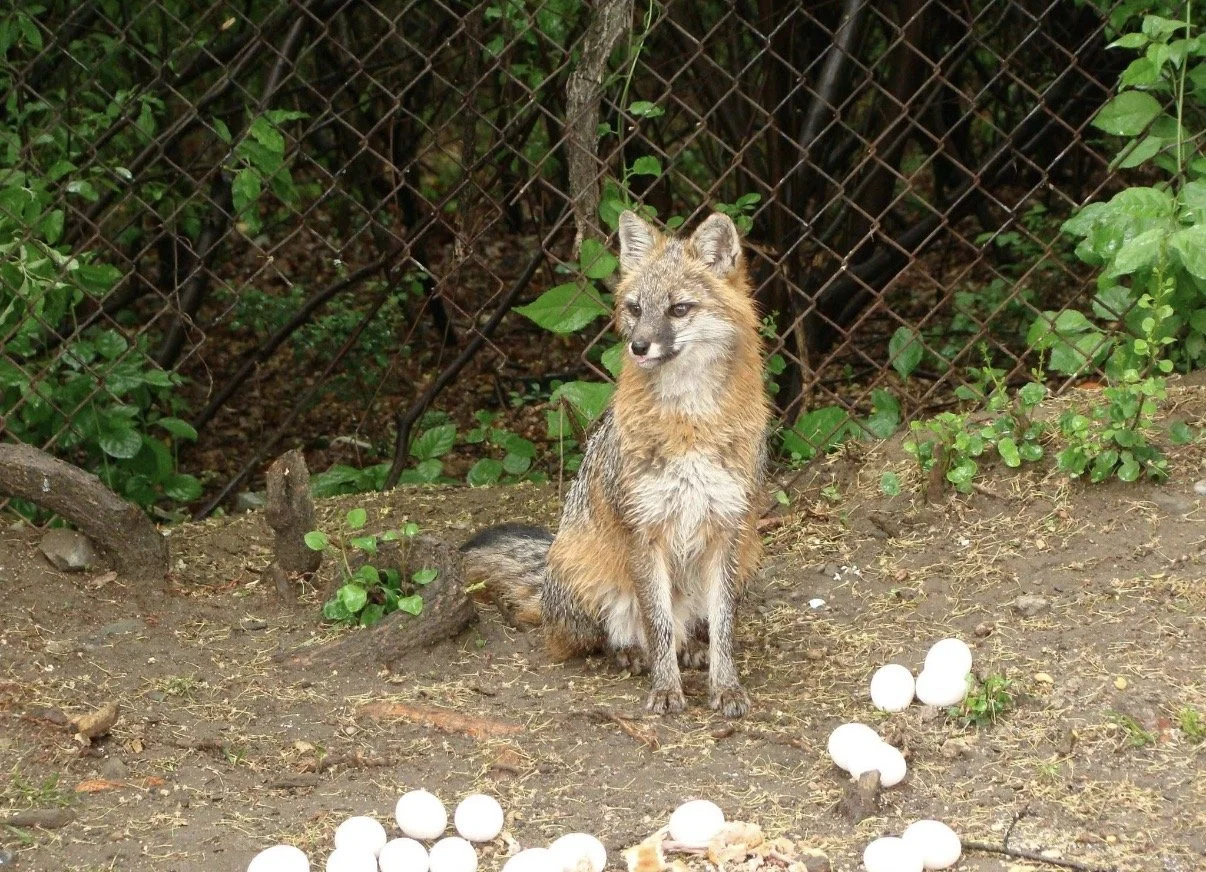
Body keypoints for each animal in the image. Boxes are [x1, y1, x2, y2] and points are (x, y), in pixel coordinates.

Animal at [461, 209, 770, 717]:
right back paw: (631, 654)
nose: (638, 347)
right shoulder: (645, 530)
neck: (690, 424)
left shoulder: (728, 529)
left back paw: (693, 648)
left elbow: (724, 628)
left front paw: (726, 687)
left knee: (689, 628)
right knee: (609, 637)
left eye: (678, 309)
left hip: (745, 559)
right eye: (635, 309)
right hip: (592, 579)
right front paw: (665, 689)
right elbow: (657, 626)